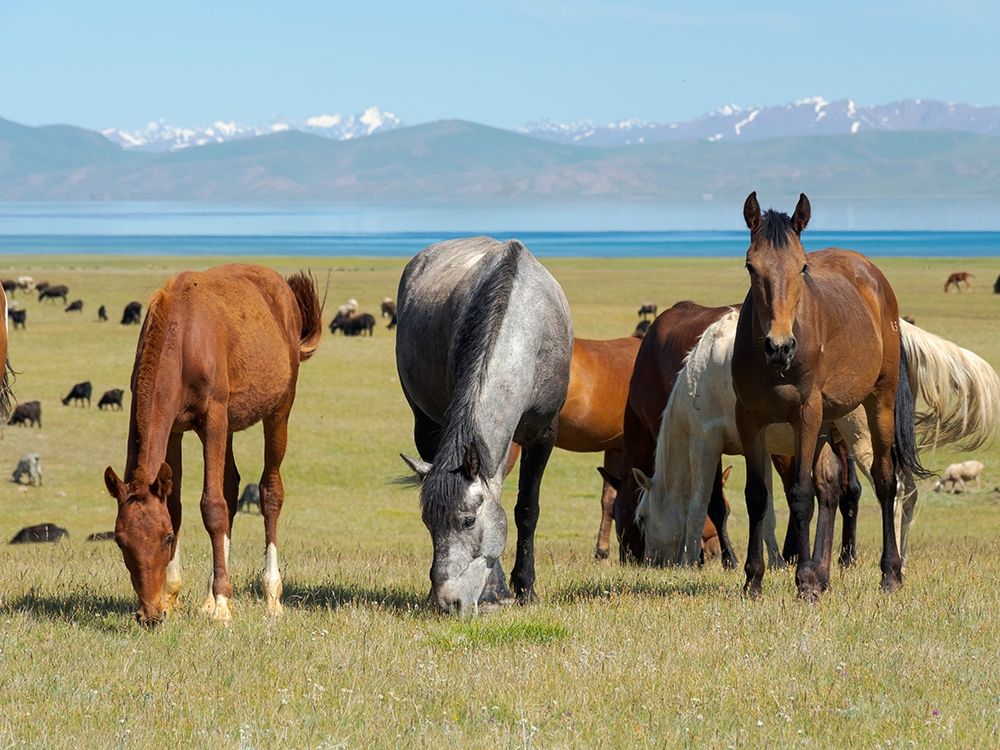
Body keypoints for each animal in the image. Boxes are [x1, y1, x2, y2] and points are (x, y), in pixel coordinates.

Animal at [103, 264, 323, 626]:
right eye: (120, 541)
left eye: (166, 538)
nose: (149, 614)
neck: (184, 337)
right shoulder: (175, 430)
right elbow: (177, 504)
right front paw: (173, 596)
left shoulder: (214, 420)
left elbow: (212, 506)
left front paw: (222, 604)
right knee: (232, 488)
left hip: (278, 411)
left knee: (270, 492)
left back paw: (270, 595)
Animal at [396, 237, 573, 615]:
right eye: (427, 523)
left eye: (468, 520)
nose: (446, 602)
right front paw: (496, 591)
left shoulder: (543, 436)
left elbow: (526, 510)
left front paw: (525, 588)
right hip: (425, 423)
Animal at [636, 310, 999, 567]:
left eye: (641, 519)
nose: (651, 559)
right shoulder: (760, 449)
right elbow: (767, 510)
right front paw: (777, 561)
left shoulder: (704, 443)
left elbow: (698, 507)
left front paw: (687, 562)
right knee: (908, 492)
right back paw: (903, 555)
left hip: (862, 437)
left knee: (893, 489)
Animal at [733, 193, 930, 600]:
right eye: (750, 266)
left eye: (802, 267)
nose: (779, 346)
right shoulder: (750, 419)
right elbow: (757, 495)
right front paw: (754, 579)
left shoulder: (805, 416)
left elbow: (800, 494)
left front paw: (803, 581)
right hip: (828, 420)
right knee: (831, 485)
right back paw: (823, 575)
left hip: (878, 402)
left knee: (884, 480)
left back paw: (890, 573)